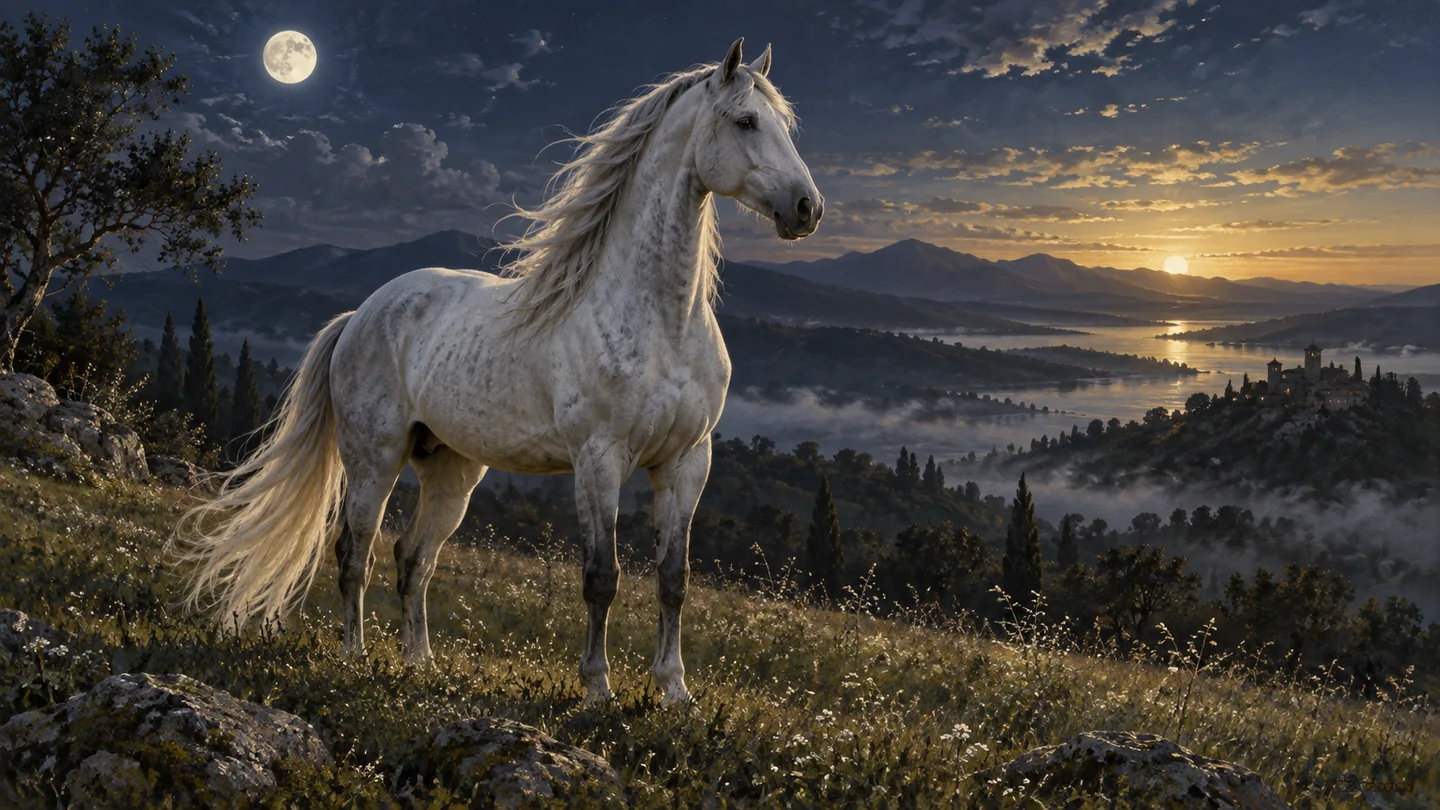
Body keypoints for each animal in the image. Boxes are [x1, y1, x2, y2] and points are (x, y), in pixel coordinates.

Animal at [171, 38, 823, 705]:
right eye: (745, 121)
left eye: (785, 125)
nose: (808, 208)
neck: (661, 320)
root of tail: (361, 313)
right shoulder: (599, 460)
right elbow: (601, 577)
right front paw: (598, 688)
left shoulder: (688, 463)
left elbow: (674, 580)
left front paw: (676, 693)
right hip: (374, 458)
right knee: (356, 552)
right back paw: (354, 655)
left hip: (453, 470)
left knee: (413, 558)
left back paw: (420, 664)